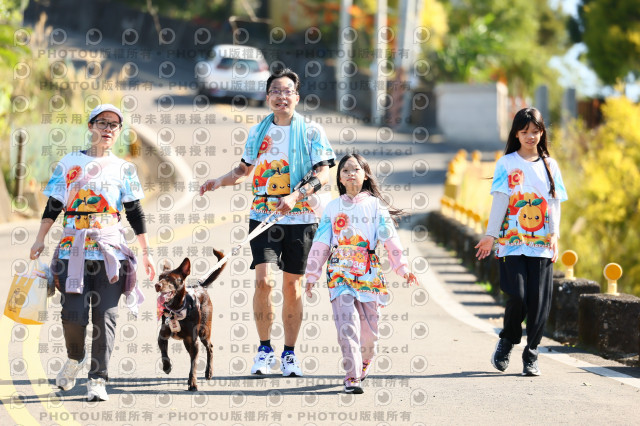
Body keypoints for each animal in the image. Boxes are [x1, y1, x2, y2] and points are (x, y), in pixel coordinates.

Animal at [155, 249, 226, 391]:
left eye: (170, 278)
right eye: (160, 277)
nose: (157, 285)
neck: (175, 309)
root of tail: (201, 286)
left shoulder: (194, 342)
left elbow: (194, 364)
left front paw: (193, 383)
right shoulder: (162, 336)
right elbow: (164, 354)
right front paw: (167, 367)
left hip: (203, 332)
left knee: (210, 347)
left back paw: (209, 372)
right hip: (187, 341)